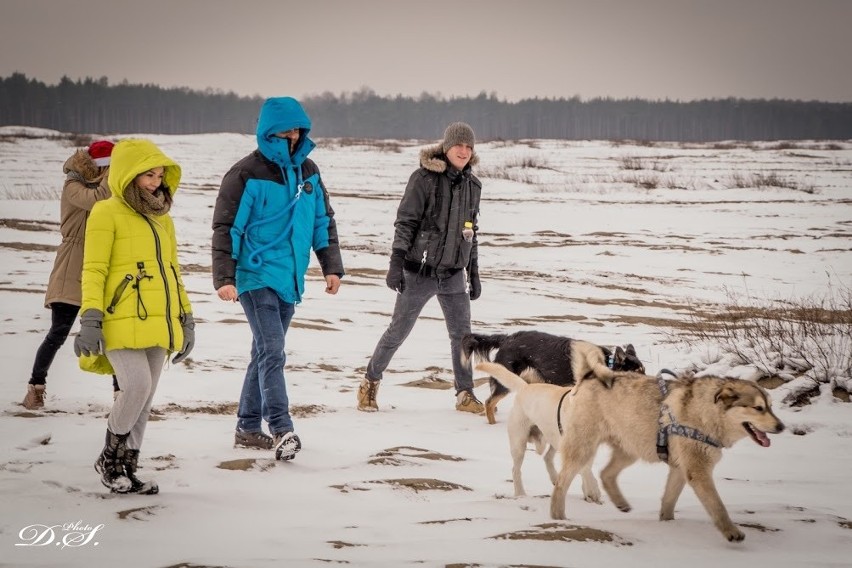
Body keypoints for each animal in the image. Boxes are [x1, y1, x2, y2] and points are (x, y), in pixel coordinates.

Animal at [462, 328, 644, 422]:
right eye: (636, 374)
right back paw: (492, 424)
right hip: (508, 381)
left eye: (644, 371)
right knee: (489, 402)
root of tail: (508, 338)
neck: (607, 365)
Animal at [476, 362, 604, 504]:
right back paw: (520, 494)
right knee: (516, 470)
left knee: (547, 457)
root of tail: (525, 386)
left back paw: (555, 478)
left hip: (551, 438)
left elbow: (585, 469)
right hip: (519, 444)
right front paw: (593, 490)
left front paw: (588, 493)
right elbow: (585, 469)